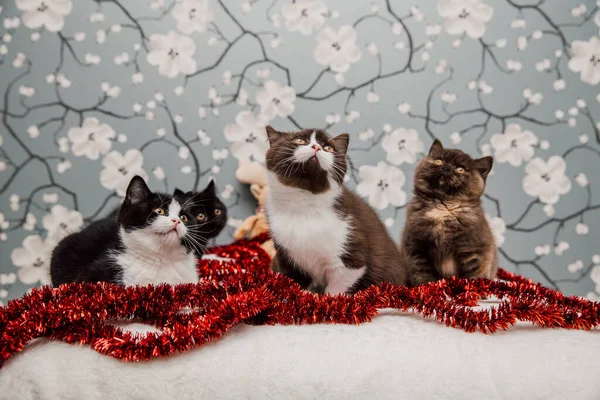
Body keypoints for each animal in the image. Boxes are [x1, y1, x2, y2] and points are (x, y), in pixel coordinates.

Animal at [264, 125, 408, 294]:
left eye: (329, 148)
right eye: (299, 140)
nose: (316, 147)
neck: (304, 203)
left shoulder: (351, 247)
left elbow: (338, 286)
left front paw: (326, 299)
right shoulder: (284, 253)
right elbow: (290, 279)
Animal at [398, 139, 496, 286]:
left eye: (460, 169)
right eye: (439, 161)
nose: (446, 168)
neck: (443, 207)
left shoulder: (474, 250)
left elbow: (474, 275)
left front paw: (475, 290)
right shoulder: (416, 246)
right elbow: (422, 274)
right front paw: (426, 289)